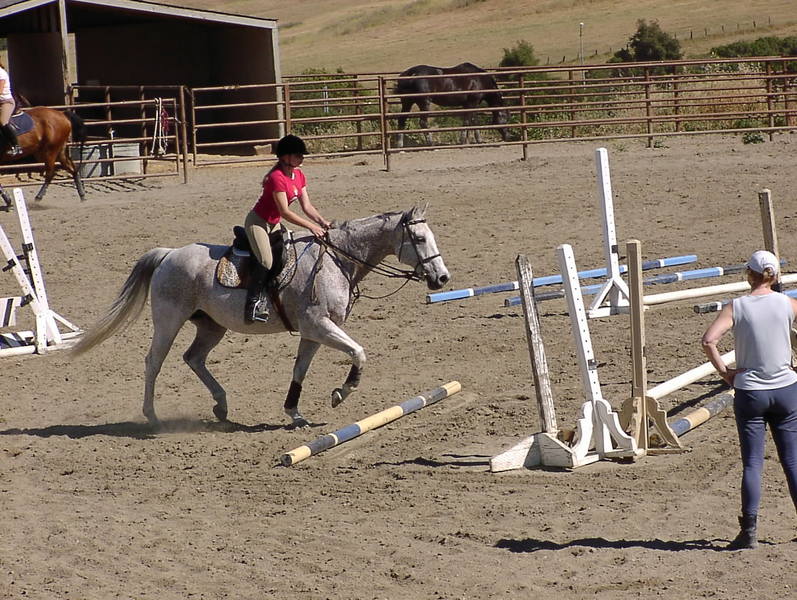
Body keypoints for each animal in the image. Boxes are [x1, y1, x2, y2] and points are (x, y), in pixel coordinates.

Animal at [72, 206, 450, 428]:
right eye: (419, 238)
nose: (442, 278)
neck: (337, 260)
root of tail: (168, 254)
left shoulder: (312, 332)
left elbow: (300, 370)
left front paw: (294, 413)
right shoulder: (319, 326)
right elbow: (359, 352)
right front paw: (341, 393)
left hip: (211, 326)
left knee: (194, 358)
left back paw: (221, 406)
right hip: (169, 320)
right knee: (154, 361)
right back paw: (152, 415)